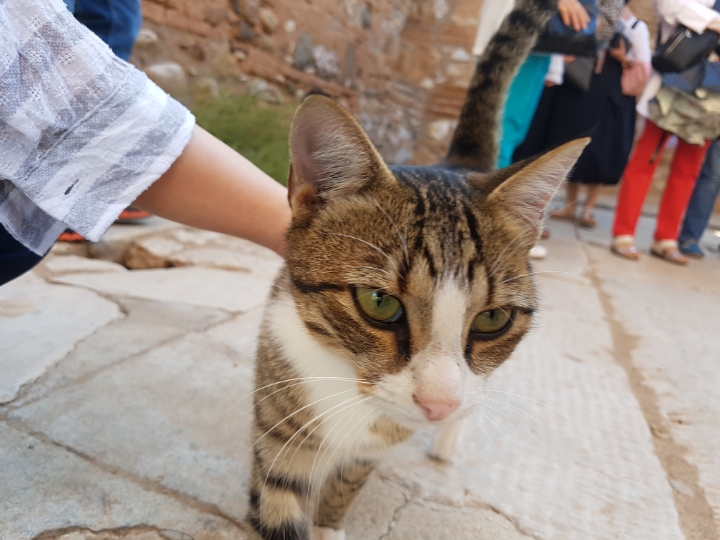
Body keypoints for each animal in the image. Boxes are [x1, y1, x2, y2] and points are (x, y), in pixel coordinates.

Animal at [247, 0, 588, 538]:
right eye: (378, 303)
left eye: (493, 319)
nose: (439, 405)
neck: (347, 384)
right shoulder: (282, 418)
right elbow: (281, 498)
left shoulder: (376, 443)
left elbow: (344, 488)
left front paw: (331, 523)